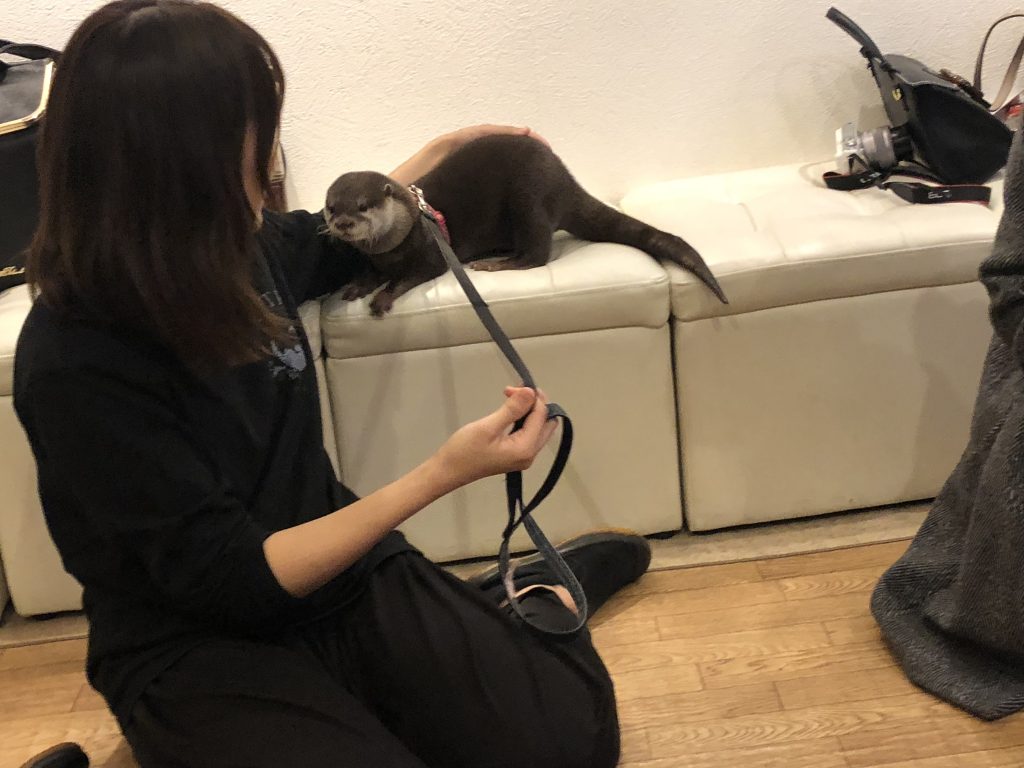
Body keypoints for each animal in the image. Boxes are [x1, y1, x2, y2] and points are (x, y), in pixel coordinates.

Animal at [323, 134, 724, 313]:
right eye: (330, 207)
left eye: (362, 205)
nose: (343, 224)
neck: (397, 241)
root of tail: (565, 180)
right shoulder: (376, 259)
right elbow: (371, 274)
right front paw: (358, 286)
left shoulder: (431, 255)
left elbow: (411, 277)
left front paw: (382, 297)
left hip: (529, 196)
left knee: (537, 254)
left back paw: (494, 264)